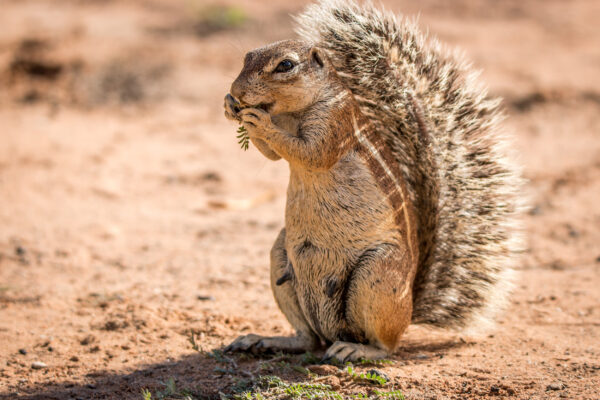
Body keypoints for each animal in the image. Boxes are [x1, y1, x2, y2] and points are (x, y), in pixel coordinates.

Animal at [223, 0, 524, 362]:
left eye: (286, 65)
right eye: (247, 56)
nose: (236, 91)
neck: (292, 113)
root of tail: (410, 310)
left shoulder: (335, 122)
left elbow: (310, 153)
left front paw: (258, 120)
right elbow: (273, 155)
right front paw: (231, 106)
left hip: (376, 275)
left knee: (385, 346)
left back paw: (355, 349)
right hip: (280, 257)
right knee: (308, 340)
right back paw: (265, 340)